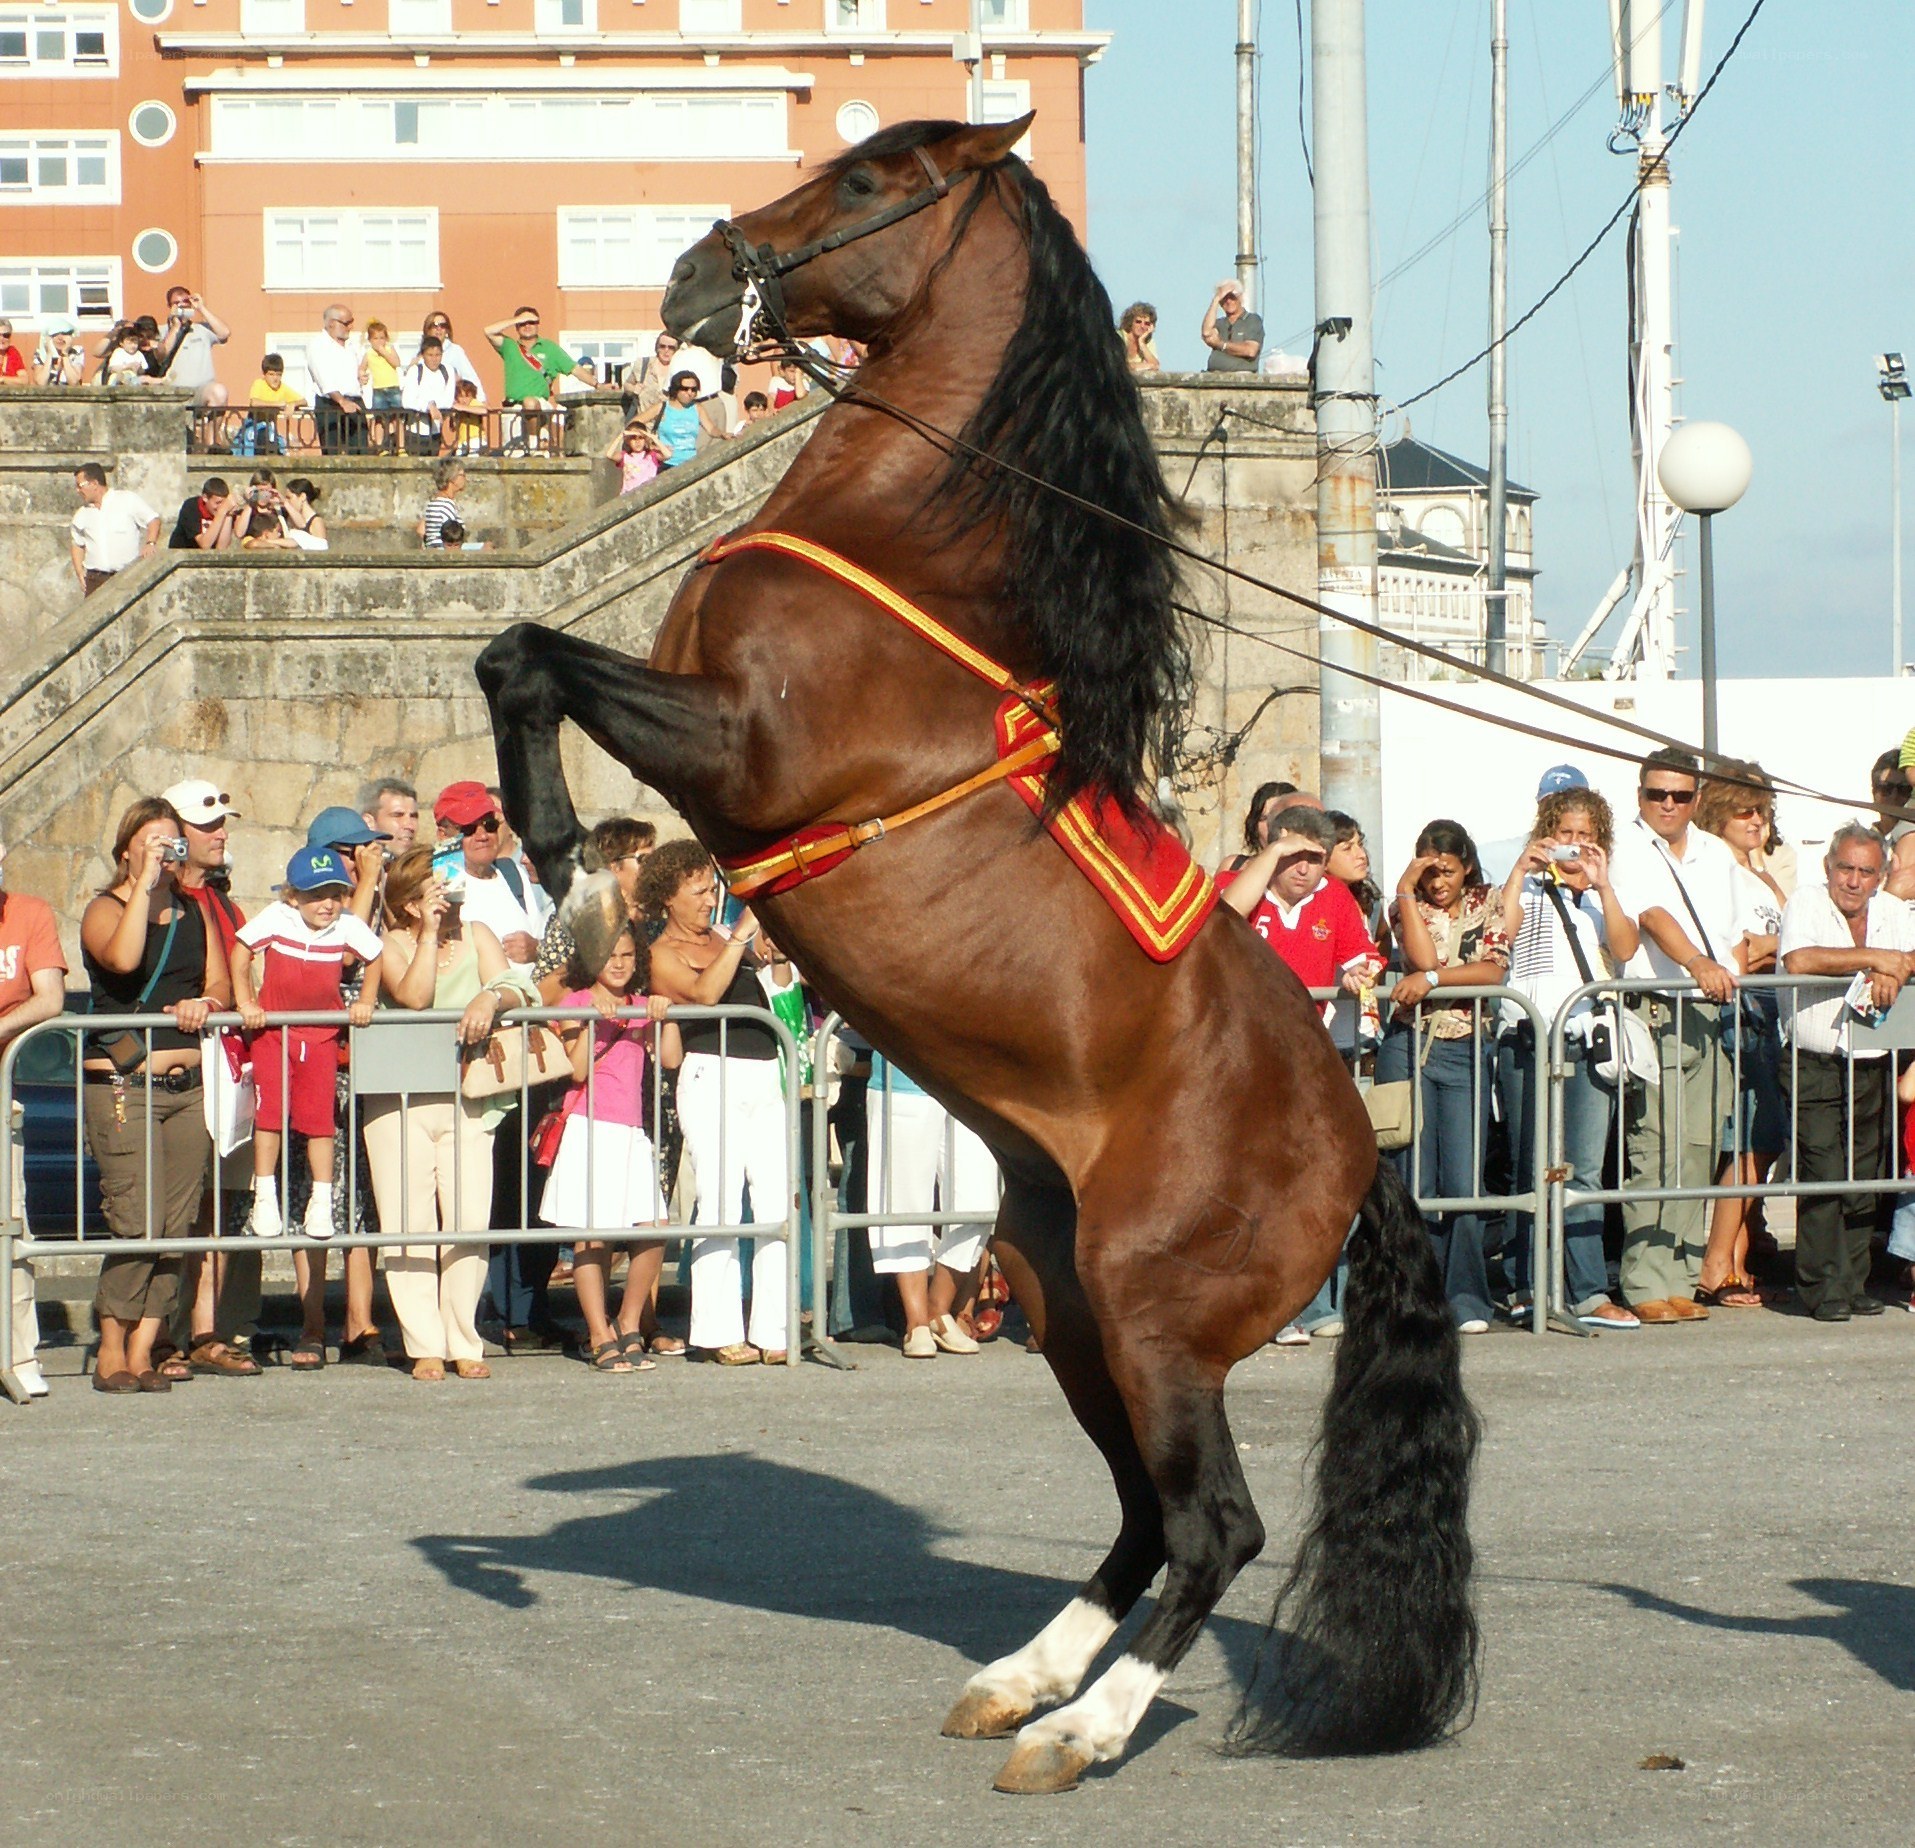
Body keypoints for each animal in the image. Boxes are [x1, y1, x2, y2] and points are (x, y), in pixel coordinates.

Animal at [476, 115, 1479, 1795]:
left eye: (874, 181)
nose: (690, 279)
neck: (902, 552)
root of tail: (1360, 1158)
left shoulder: (740, 755)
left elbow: (526, 659)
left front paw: (568, 879)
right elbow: (518, 656)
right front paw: (576, 890)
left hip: (1147, 1309)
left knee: (1212, 1526)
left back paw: (1077, 1730)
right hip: (1058, 1291)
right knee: (1145, 1517)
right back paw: (1021, 1678)